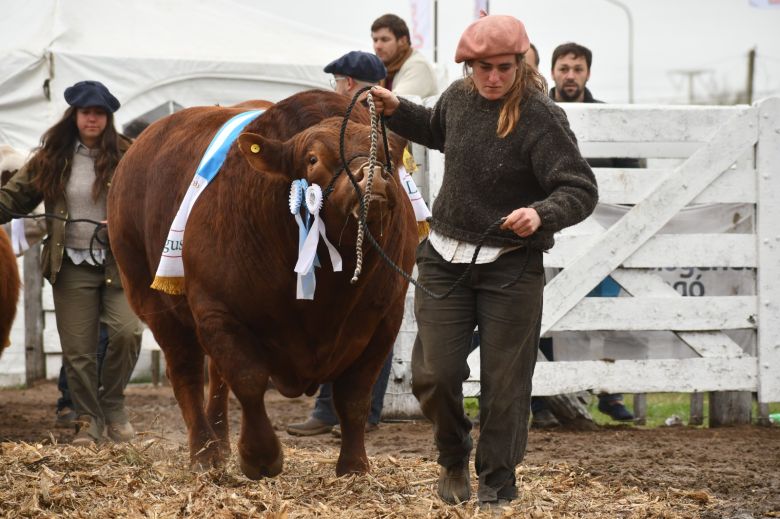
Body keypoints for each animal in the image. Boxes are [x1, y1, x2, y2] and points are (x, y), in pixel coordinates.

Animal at [108, 90, 420, 480]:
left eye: (385, 152)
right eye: (313, 158)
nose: (373, 177)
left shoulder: (384, 319)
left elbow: (354, 396)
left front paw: (354, 466)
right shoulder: (218, 311)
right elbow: (249, 381)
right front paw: (260, 456)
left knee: (216, 378)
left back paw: (220, 443)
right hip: (152, 300)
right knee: (187, 374)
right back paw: (205, 453)